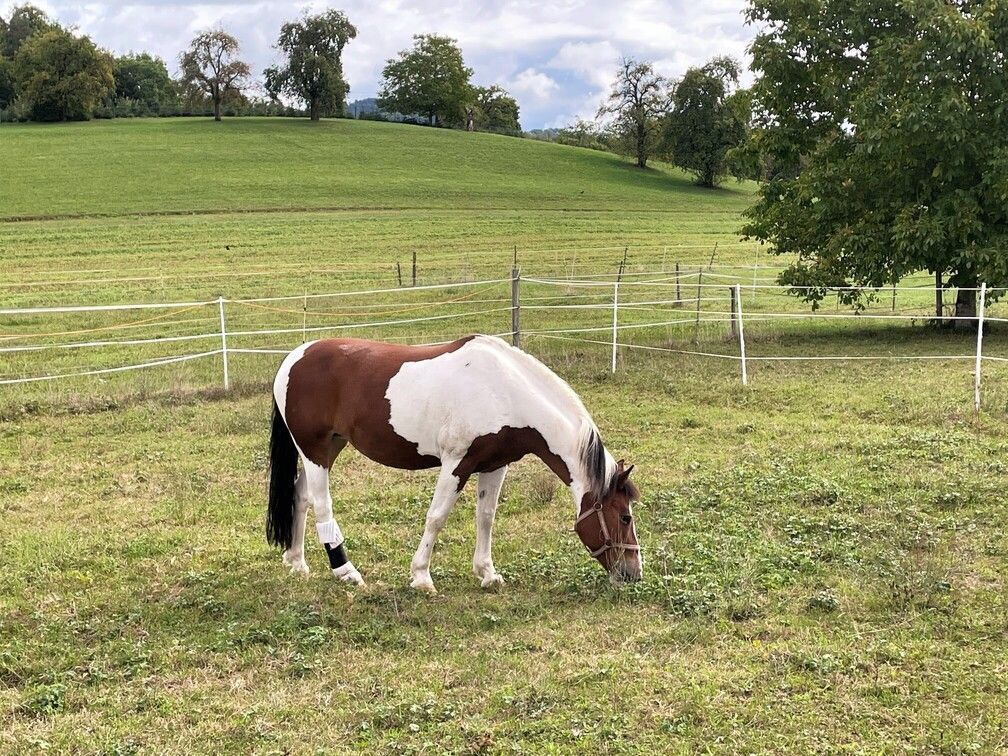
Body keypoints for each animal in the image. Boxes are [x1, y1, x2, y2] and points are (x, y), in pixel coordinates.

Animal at [266, 334, 641, 593]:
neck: (503, 390)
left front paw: (488, 574)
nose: (633, 572)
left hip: (329, 448)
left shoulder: (495, 465)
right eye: (624, 516)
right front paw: (421, 577)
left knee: (300, 496)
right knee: (321, 503)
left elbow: (486, 517)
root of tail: (294, 359)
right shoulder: (456, 464)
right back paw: (345, 572)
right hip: (315, 451)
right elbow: (436, 517)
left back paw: (297, 563)